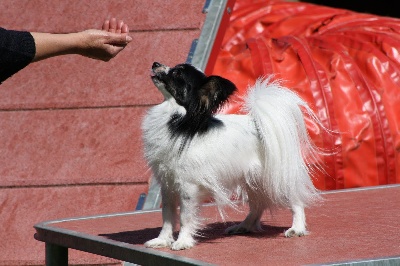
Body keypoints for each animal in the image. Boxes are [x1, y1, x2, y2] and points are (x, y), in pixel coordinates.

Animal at [142, 61, 326, 250]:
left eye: (177, 74)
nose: (155, 63)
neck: (177, 121)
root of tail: (258, 124)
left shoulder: (188, 187)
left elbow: (185, 217)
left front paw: (183, 242)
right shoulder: (168, 185)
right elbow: (167, 216)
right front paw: (162, 240)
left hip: (276, 178)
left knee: (296, 201)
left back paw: (297, 228)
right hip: (253, 181)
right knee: (258, 206)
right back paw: (244, 226)